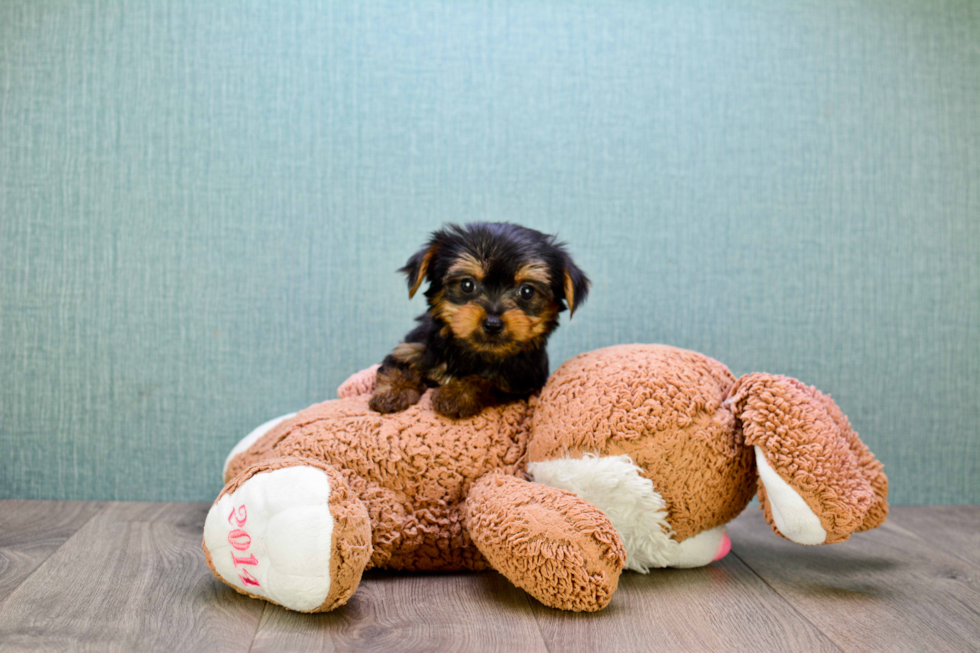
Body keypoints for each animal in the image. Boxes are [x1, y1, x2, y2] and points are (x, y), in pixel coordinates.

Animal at [372, 223, 588, 418]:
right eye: (467, 285)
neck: (474, 353)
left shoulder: (519, 383)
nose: (492, 324)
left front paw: (456, 394)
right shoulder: (414, 347)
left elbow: (485, 381)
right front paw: (392, 393)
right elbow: (398, 365)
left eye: (527, 291)